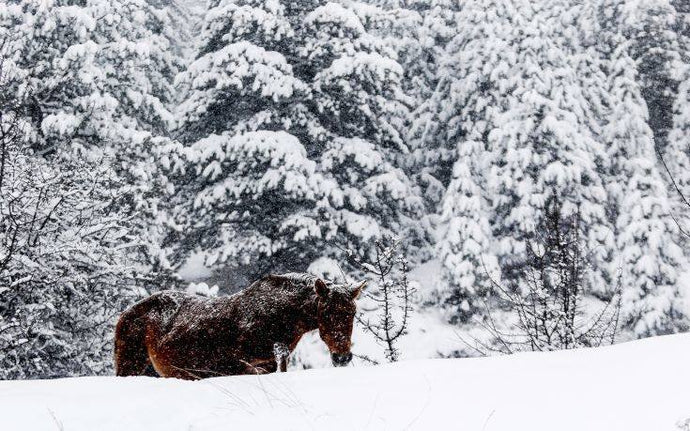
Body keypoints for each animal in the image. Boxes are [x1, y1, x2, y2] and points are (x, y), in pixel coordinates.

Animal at [113, 276, 366, 380]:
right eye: (326, 312)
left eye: (353, 313)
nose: (342, 357)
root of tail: (125, 314)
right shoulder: (237, 366)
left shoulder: (271, 362)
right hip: (130, 364)